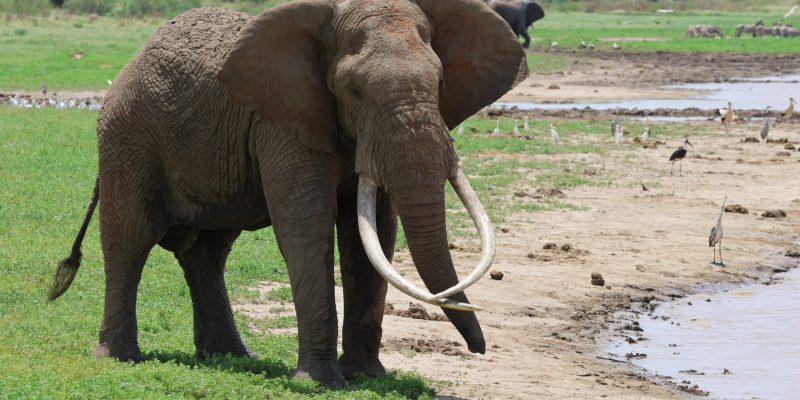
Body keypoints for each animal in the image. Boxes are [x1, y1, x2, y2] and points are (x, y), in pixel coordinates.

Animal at [48, 0, 527, 389]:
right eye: (353, 91)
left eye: (441, 81)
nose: (479, 349)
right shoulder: (282, 121)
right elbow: (305, 227)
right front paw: (322, 382)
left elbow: (374, 234)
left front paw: (368, 377)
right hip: (128, 137)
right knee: (131, 237)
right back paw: (120, 357)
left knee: (208, 252)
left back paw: (233, 357)